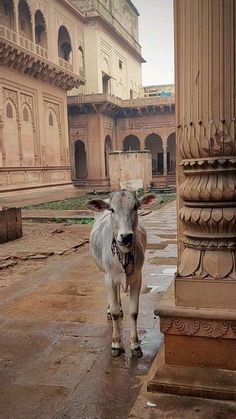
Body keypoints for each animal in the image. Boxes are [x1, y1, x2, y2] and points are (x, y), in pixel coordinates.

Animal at [85, 190, 156, 358]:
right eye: (112, 209)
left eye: (135, 207)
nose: (126, 236)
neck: (123, 254)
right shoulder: (109, 278)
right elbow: (116, 313)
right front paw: (116, 344)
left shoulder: (137, 278)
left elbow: (134, 312)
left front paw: (135, 345)